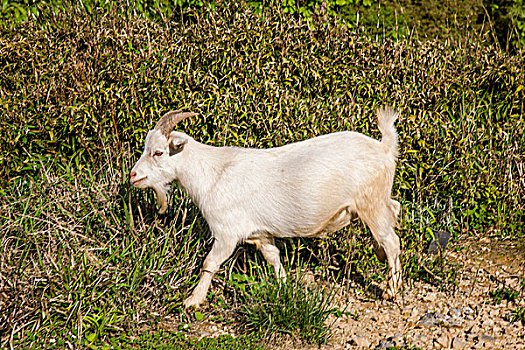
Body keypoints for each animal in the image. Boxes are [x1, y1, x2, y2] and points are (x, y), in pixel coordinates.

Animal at [131, 108, 402, 308]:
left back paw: (391, 290)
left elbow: (210, 263)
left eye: (158, 152)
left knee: (392, 240)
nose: (133, 175)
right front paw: (284, 287)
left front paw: (193, 300)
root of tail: (384, 148)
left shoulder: (226, 233)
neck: (213, 174)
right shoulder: (260, 234)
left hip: (371, 202)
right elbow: (273, 257)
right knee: (394, 212)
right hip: (377, 201)